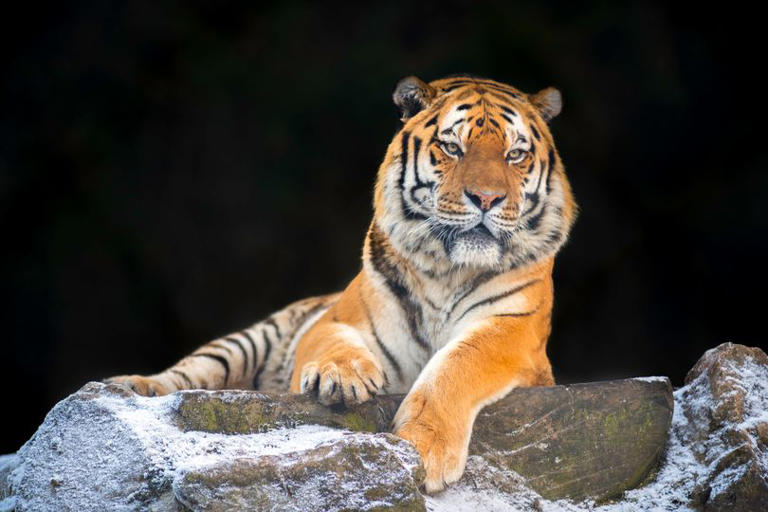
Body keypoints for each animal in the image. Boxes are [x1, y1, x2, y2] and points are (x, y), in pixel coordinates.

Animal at [107, 74, 577, 492]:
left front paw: (424, 446)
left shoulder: (515, 331)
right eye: (451, 147)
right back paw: (134, 385)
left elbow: (458, 364)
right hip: (248, 341)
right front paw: (342, 375)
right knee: (191, 371)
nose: (486, 198)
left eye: (515, 155)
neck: (449, 268)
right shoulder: (335, 318)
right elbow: (332, 342)